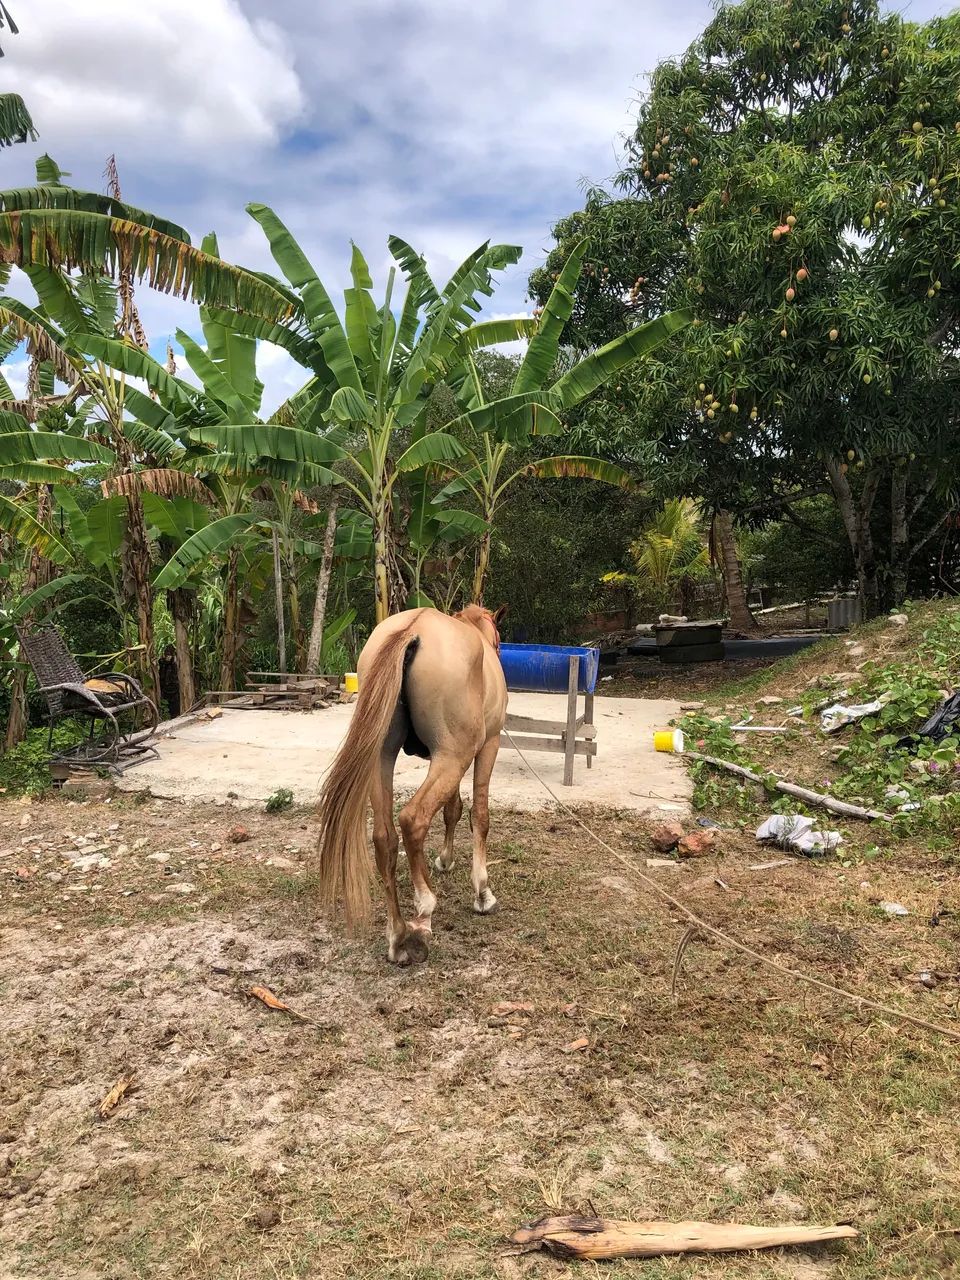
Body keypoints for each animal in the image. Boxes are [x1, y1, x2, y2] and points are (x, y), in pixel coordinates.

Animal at [316, 604, 508, 965]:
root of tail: (413, 628)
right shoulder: (487, 746)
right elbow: (479, 816)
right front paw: (483, 893)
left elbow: (452, 809)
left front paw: (445, 859)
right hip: (453, 757)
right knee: (413, 820)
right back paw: (424, 909)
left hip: (384, 756)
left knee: (385, 837)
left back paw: (398, 935)